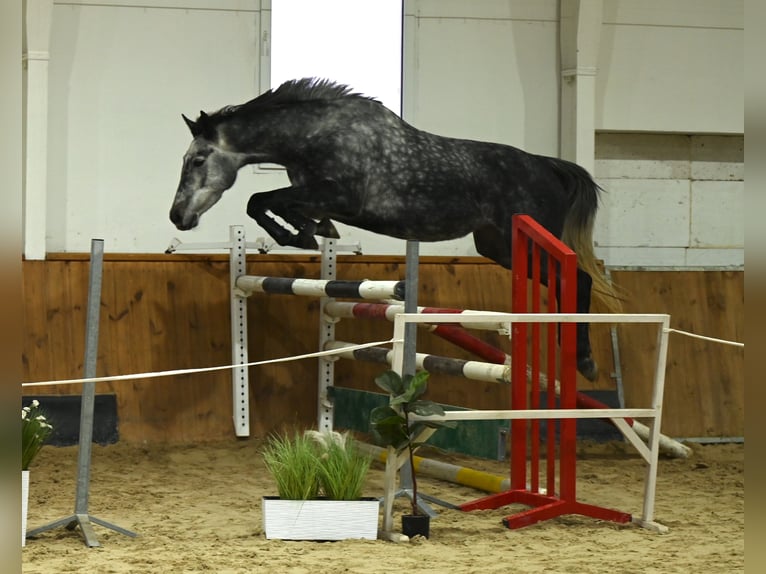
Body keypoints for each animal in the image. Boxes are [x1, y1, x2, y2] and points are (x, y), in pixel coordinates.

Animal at [171, 77, 620, 382]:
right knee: (564, 283)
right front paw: (310, 232)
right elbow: (275, 205)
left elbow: (261, 199)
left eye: (198, 160)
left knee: (578, 279)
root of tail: (550, 167)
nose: (178, 217)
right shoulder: (316, 195)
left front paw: (298, 234)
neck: (318, 136)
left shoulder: (342, 196)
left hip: (521, 241)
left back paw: (584, 361)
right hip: (500, 247)